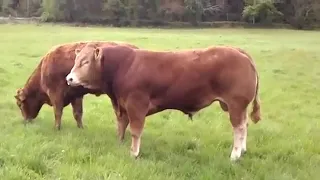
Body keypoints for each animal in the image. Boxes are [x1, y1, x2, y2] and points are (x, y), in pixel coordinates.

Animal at [65, 43, 262, 160]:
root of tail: (238, 51)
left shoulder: (136, 104)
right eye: (76, 60)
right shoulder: (122, 105)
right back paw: (243, 150)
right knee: (244, 125)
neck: (124, 66)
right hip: (237, 106)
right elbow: (121, 126)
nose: (69, 78)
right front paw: (120, 144)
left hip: (235, 103)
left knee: (239, 128)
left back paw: (235, 155)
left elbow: (135, 131)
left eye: (85, 61)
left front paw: (134, 153)